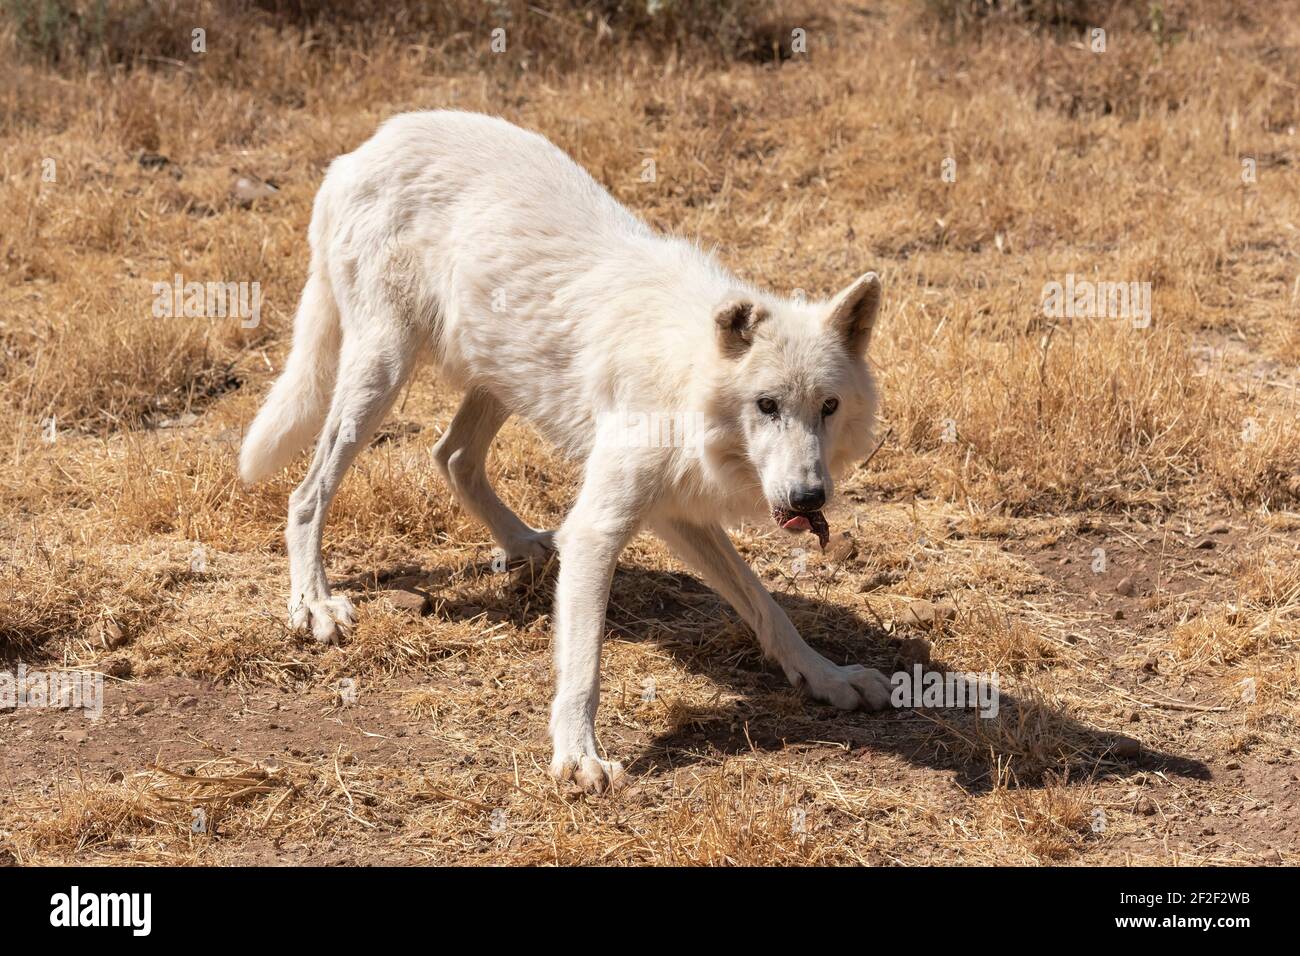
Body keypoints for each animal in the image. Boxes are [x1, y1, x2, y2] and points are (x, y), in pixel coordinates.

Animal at [241, 110, 894, 790]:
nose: (809, 497)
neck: (684, 375)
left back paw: (525, 546)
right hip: (382, 373)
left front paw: (826, 677)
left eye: (828, 407)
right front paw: (578, 755)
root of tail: (362, 148)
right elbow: (582, 663)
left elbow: (767, 607)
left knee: (451, 456)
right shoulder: (600, 528)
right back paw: (314, 604)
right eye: (766, 405)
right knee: (306, 494)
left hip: (500, 375)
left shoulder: (677, 514)